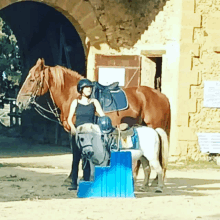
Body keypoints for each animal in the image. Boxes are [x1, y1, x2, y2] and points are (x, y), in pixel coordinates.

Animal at [16, 58, 171, 182]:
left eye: (32, 79)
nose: (19, 102)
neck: (74, 96)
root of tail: (162, 96)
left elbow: (77, 155)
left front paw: (73, 178)